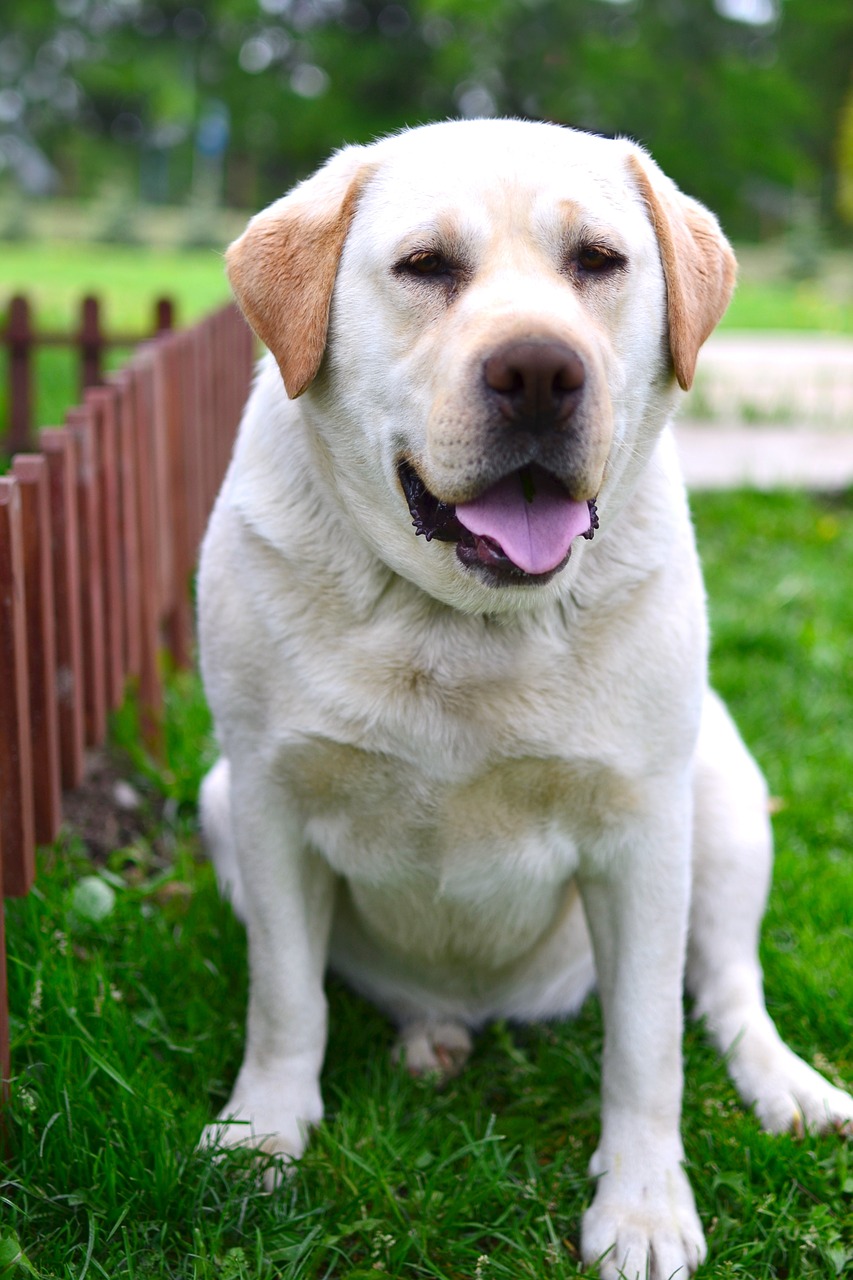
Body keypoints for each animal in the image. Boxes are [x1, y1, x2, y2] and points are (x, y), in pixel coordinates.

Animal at [194, 120, 850, 1280]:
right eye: (425, 266)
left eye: (597, 260)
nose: (539, 370)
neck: (462, 621)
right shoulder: (268, 799)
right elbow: (286, 999)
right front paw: (263, 1131)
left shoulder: (642, 833)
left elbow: (647, 1044)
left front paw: (642, 1208)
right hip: (216, 797)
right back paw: (430, 1034)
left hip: (723, 792)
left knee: (726, 988)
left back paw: (789, 1086)